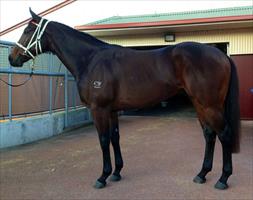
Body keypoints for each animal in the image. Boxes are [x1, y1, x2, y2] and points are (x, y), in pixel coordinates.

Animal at [8, 9, 240, 190]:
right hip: (200, 104)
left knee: (224, 133)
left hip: (210, 105)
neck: (91, 60)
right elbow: (114, 138)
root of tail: (221, 54)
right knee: (209, 134)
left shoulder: (99, 109)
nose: (12, 58)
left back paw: (223, 179)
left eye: (27, 30)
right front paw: (116, 172)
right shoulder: (111, 110)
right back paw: (202, 174)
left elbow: (103, 140)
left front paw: (102, 177)